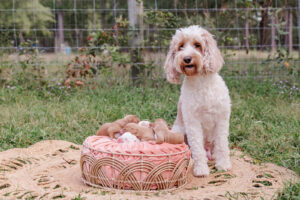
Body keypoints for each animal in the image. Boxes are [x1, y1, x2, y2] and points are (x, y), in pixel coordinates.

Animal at [164, 25, 232, 177]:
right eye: (181, 46)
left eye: (197, 45)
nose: (187, 58)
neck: (201, 82)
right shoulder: (192, 121)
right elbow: (197, 147)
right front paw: (201, 169)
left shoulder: (222, 119)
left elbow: (222, 144)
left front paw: (223, 165)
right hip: (179, 131)